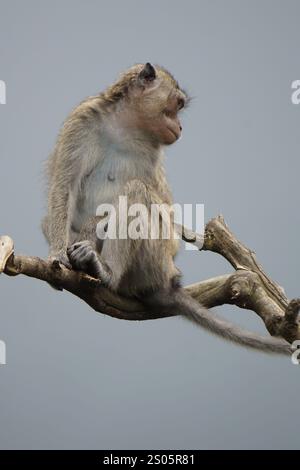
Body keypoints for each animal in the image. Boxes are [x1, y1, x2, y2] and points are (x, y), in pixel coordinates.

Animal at [42, 63, 292, 356]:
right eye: (177, 105)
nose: (180, 126)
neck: (123, 125)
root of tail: (167, 280)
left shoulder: (151, 154)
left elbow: (162, 212)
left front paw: (92, 227)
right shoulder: (82, 120)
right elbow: (64, 187)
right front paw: (57, 254)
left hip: (155, 261)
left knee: (136, 193)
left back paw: (107, 272)